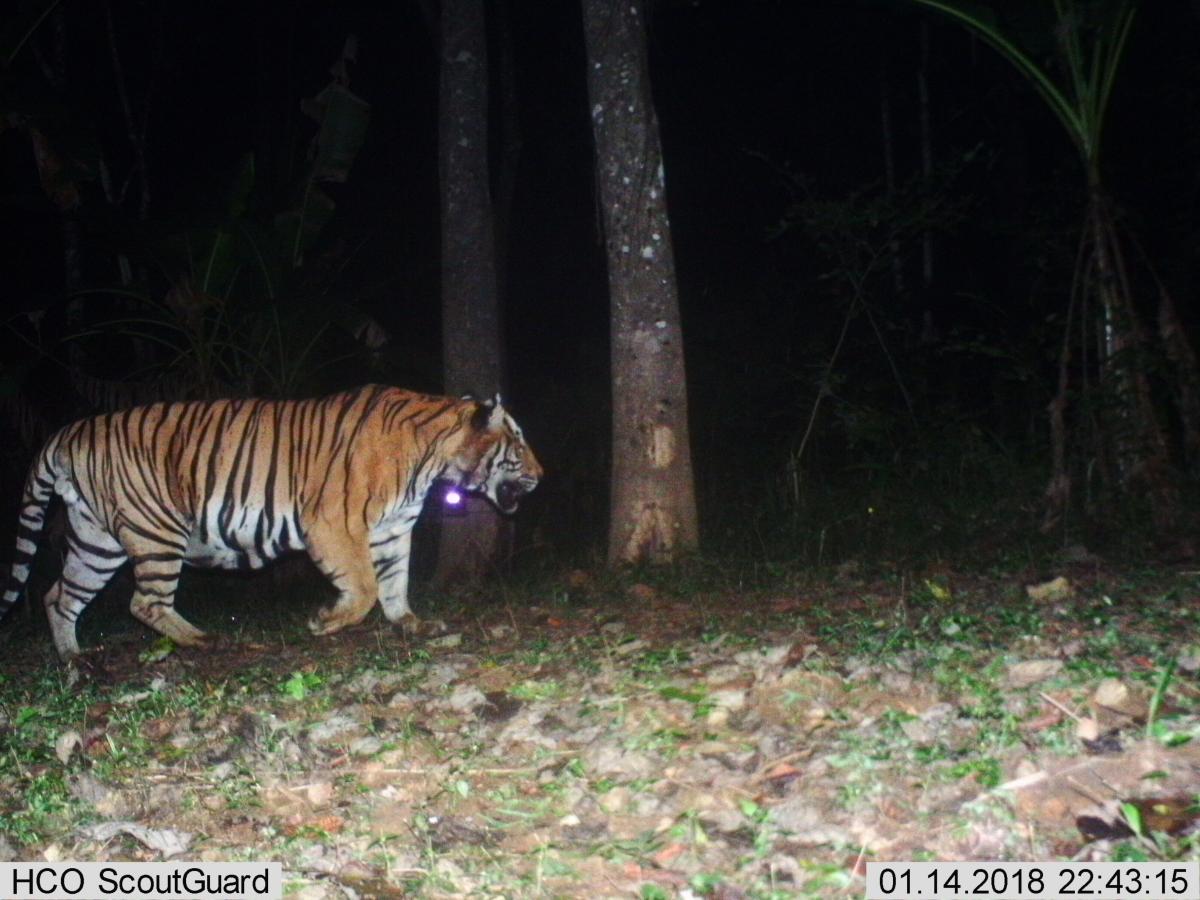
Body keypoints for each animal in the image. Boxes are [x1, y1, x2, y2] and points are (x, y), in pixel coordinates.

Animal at [1, 385, 542, 659]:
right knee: (144, 601)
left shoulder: (392, 530)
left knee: (58, 595)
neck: (432, 461)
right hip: (156, 529)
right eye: (517, 442)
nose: (541, 475)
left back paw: (73, 659)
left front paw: (410, 623)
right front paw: (325, 620)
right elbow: (365, 586)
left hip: (98, 541)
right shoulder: (334, 523)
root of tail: (69, 431)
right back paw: (203, 639)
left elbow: (393, 583)